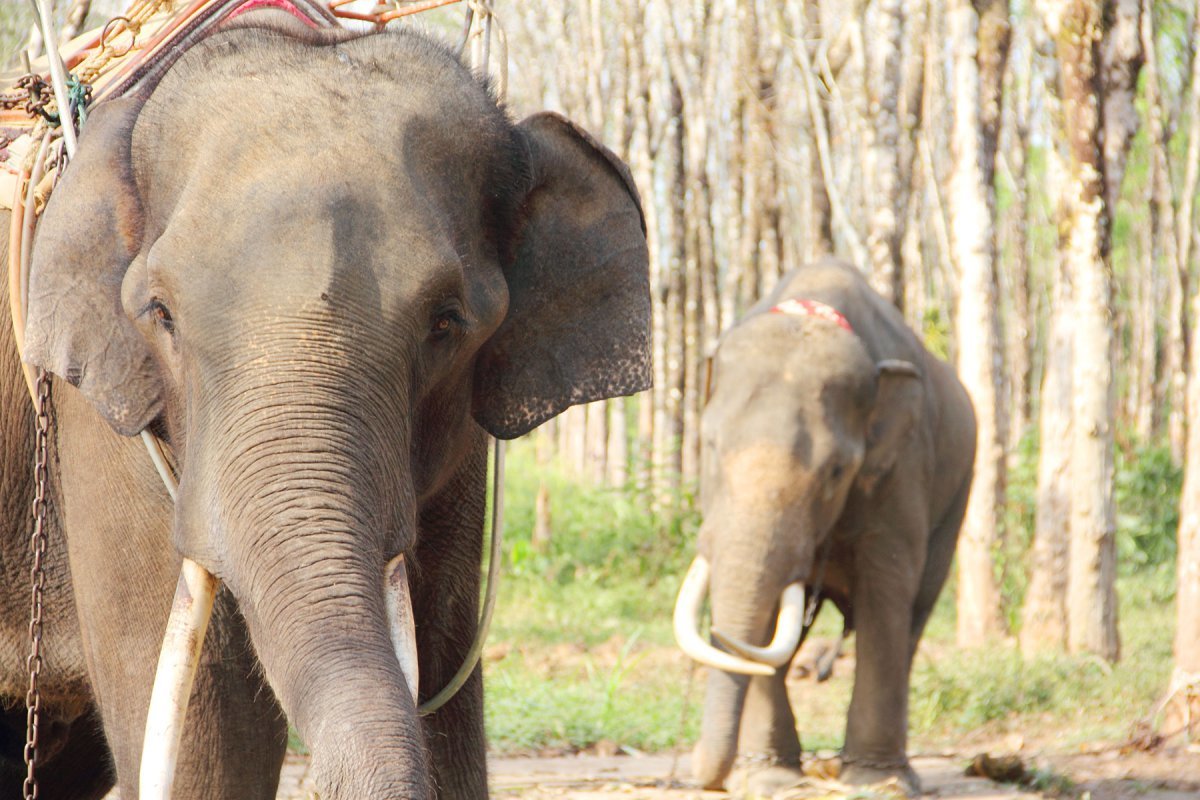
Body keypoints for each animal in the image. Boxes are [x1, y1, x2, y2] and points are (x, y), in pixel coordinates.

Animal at [676, 261, 974, 796]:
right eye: (709, 447)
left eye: (836, 471)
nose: (696, 770)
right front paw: (769, 779)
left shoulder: (903, 467)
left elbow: (886, 590)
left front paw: (876, 783)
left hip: (956, 500)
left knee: (914, 617)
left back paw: (897, 773)